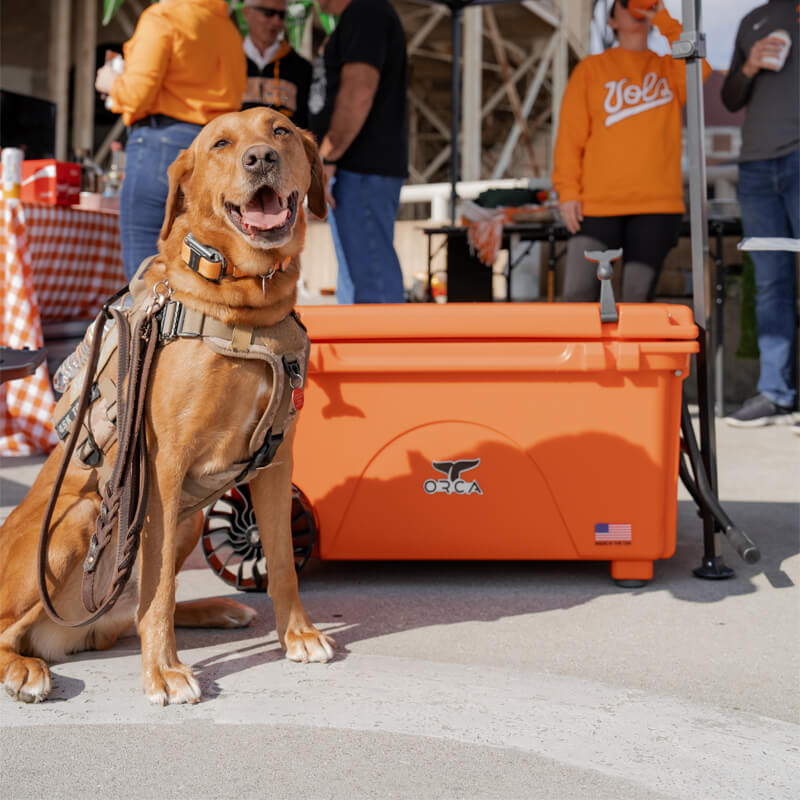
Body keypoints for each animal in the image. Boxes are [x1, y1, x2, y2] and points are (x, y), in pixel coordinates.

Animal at [0, 108, 334, 708]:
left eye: (280, 131)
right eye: (221, 143)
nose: (261, 159)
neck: (243, 306)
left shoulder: (276, 464)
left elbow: (280, 563)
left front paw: (297, 634)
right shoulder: (161, 468)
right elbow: (155, 588)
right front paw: (163, 672)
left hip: (188, 519)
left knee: (132, 612)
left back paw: (213, 608)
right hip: (80, 518)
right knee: (21, 630)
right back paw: (24, 670)